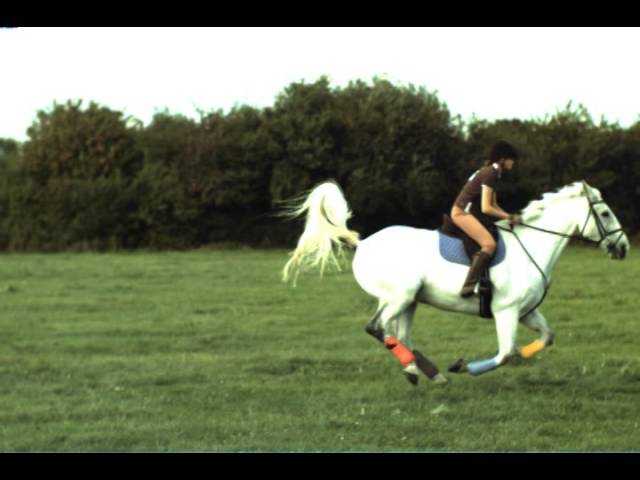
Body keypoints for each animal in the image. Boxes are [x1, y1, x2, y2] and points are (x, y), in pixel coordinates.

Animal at [282, 180, 629, 384]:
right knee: (376, 327)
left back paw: (422, 371)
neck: (532, 246)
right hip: (399, 296)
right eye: (605, 214)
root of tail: (363, 243)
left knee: (397, 335)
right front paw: (463, 366)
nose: (623, 247)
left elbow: (545, 338)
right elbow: (506, 353)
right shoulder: (506, 312)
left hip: (408, 302)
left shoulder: (527, 312)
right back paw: (423, 369)